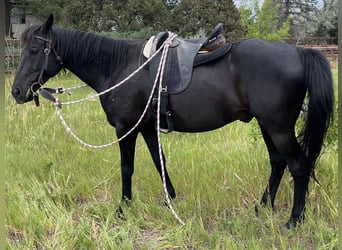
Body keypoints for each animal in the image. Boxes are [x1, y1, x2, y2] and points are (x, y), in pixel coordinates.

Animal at [12, 14, 332, 228]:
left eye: (34, 50)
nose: (16, 91)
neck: (118, 66)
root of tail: (299, 52)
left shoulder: (126, 129)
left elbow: (126, 169)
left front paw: (123, 208)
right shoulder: (146, 128)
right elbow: (159, 161)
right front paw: (170, 198)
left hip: (278, 128)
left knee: (298, 166)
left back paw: (294, 220)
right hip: (267, 125)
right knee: (278, 163)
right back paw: (261, 207)